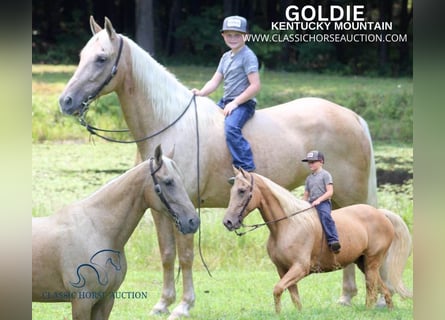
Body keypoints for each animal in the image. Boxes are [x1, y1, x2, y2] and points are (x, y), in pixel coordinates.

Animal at [224, 169, 412, 314]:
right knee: (383, 289)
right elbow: (293, 297)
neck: (287, 225)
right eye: (232, 191)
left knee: (372, 289)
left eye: (242, 191)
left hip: (372, 261)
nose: (228, 222)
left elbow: (277, 289)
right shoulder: (283, 270)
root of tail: (381, 214)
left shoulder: (300, 268)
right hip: (363, 263)